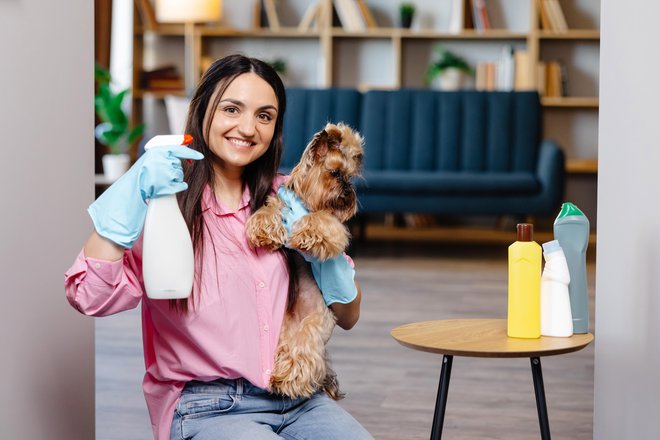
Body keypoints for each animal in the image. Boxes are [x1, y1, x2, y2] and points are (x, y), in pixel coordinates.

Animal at [245, 122, 364, 400]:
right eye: (335, 173)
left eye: (350, 177)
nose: (349, 190)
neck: (306, 200)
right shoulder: (278, 200)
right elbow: (269, 209)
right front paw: (262, 230)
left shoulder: (331, 221)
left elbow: (321, 220)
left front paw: (306, 234)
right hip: (284, 329)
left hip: (314, 326)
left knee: (302, 353)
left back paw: (286, 380)